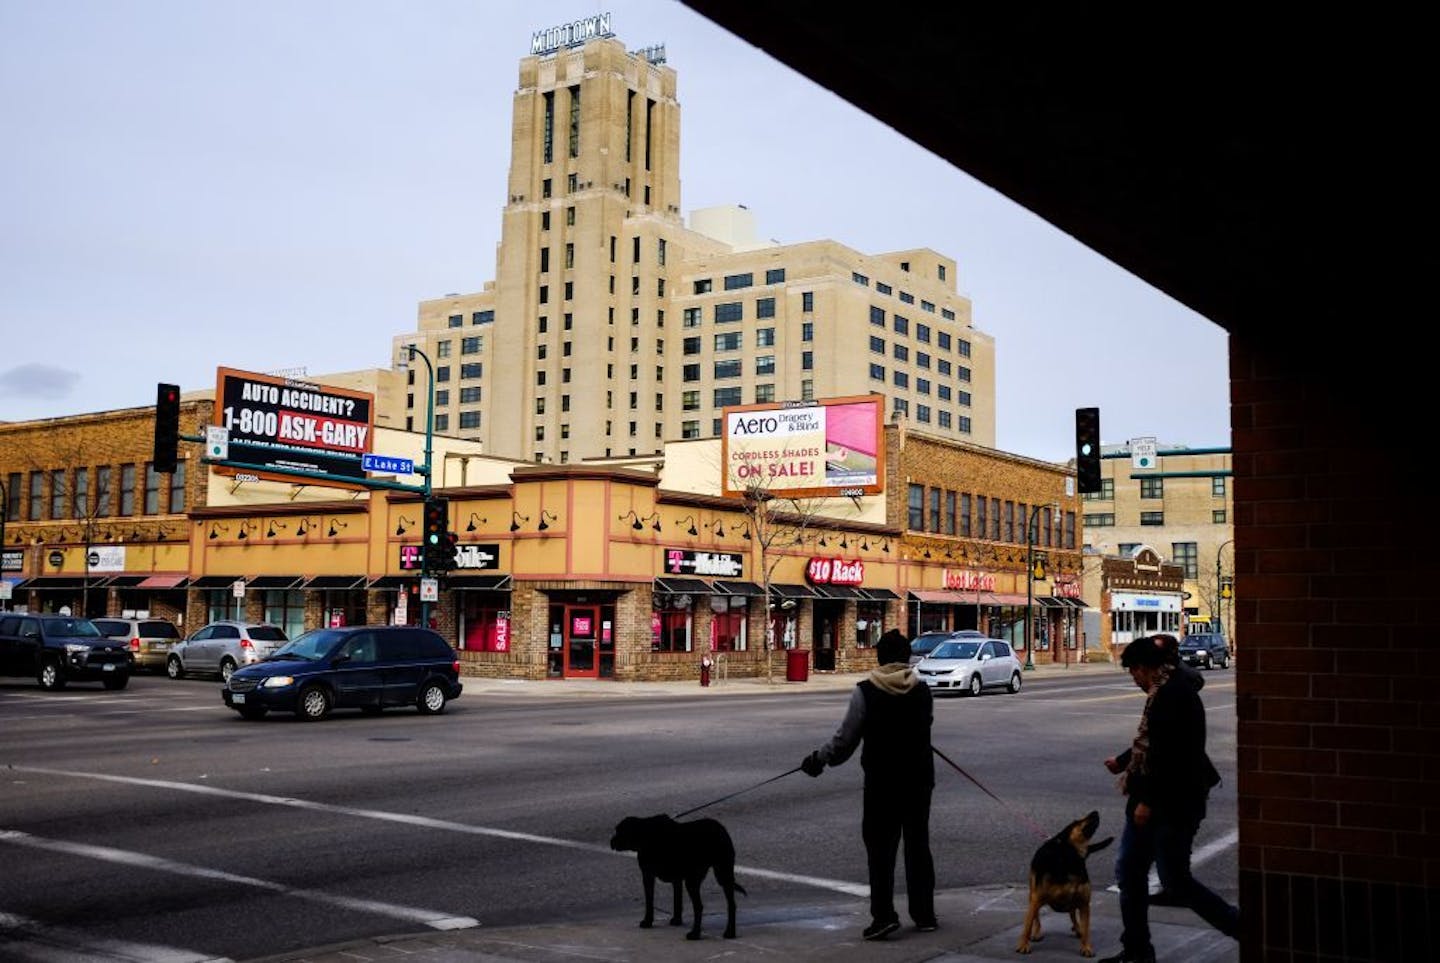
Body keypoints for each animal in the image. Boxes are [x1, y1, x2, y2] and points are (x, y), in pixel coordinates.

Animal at [607, 811, 748, 938]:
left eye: (619, 831)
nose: (611, 842)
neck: (646, 835)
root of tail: (721, 830)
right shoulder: (677, 879)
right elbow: (677, 900)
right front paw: (677, 920)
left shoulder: (648, 875)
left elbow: (649, 901)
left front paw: (647, 922)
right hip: (724, 873)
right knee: (731, 904)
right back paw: (730, 933)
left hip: (695, 880)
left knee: (699, 906)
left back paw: (695, 934)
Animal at [1013, 811, 1111, 955]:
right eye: (1076, 822)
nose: (1095, 811)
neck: (1072, 859)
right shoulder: (1037, 898)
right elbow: (1028, 925)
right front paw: (1023, 944)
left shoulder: (1084, 903)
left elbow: (1086, 928)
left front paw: (1086, 946)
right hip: (1032, 892)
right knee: (1036, 916)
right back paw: (1037, 932)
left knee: (1072, 914)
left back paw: (1077, 928)